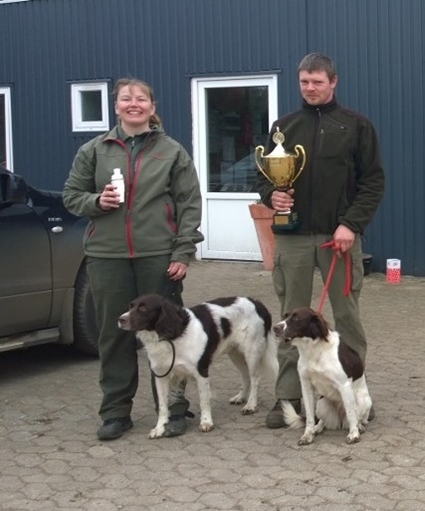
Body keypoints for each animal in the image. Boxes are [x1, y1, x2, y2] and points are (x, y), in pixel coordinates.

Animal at [119, 294, 278, 438]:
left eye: (143, 308)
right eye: (130, 306)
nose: (120, 319)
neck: (174, 335)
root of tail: (256, 302)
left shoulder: (201, 372)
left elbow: (204, 400)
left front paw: (206, 422)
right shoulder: (161, 375)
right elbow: (163, 405)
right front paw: (159, 428)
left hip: (252, 351)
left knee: (255, 378)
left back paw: (251, 405)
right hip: (235, 352)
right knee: (245, 376)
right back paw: (241, 397)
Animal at [274, 308, 370, 444]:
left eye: (296, 318)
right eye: (285, 316)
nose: (275, 328)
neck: (313, 350)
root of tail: (340, 418)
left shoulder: (344, 386)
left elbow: (351, 414)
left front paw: (354, 434)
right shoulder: (306, 385)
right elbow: (309, 416)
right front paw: (307, 435)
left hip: (362, 401)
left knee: (357, 418)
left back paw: (359, 427)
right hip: (322, 403)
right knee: (322, 420)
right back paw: (317, 428)